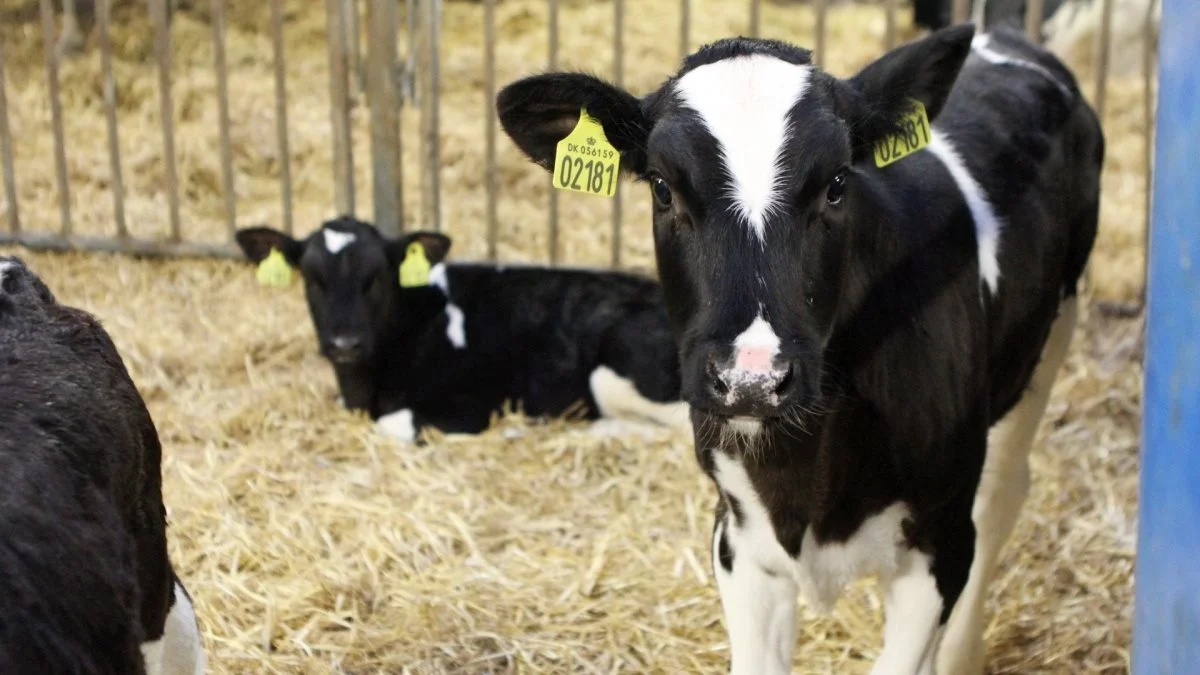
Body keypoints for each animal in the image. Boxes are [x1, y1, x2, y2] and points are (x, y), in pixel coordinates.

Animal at [494, 23, 1099, 667]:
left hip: (1051, 337)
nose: (751, 378)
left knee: (1005, 489)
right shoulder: (738, 537)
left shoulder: (939, 539)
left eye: (836, 185)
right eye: (661, 188)